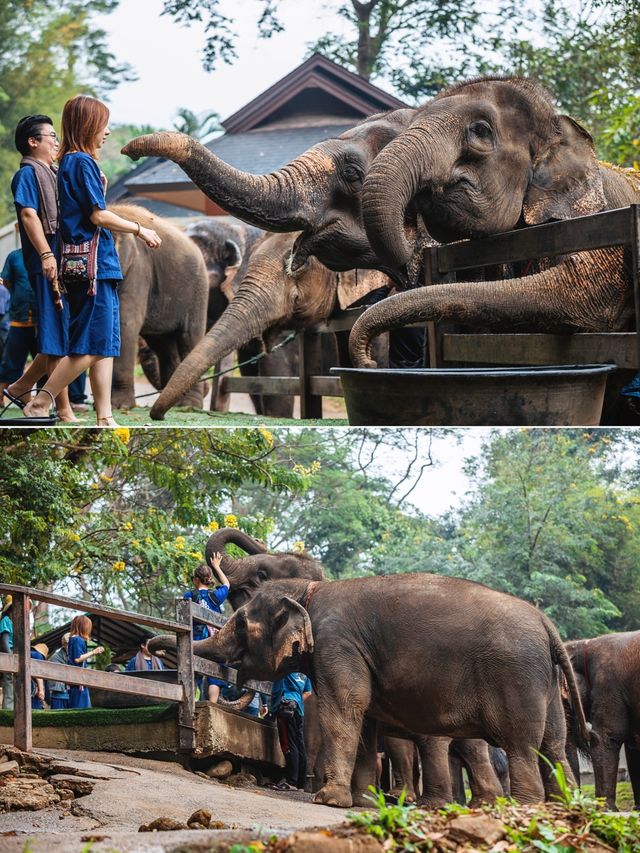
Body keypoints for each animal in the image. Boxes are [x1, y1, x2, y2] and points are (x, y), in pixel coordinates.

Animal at [110, 203, 209, 410]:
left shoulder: (138, 268)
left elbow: (126, 322)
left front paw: (120, 407)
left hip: (198, 291)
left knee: (189, 338)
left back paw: (189, 406)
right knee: (164, 347)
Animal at [150, 572, 592, 804]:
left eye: (242, 624)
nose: (152, 646)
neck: (308, 591)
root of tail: (547, 625)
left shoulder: (336, 644)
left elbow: (345, 709)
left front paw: (328, 800)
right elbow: (364, 721)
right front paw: (360, 803)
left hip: (516, 675)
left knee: (522, 744)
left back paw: (525, 807)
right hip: (545, 683)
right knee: (554, 745)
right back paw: (565, 805)